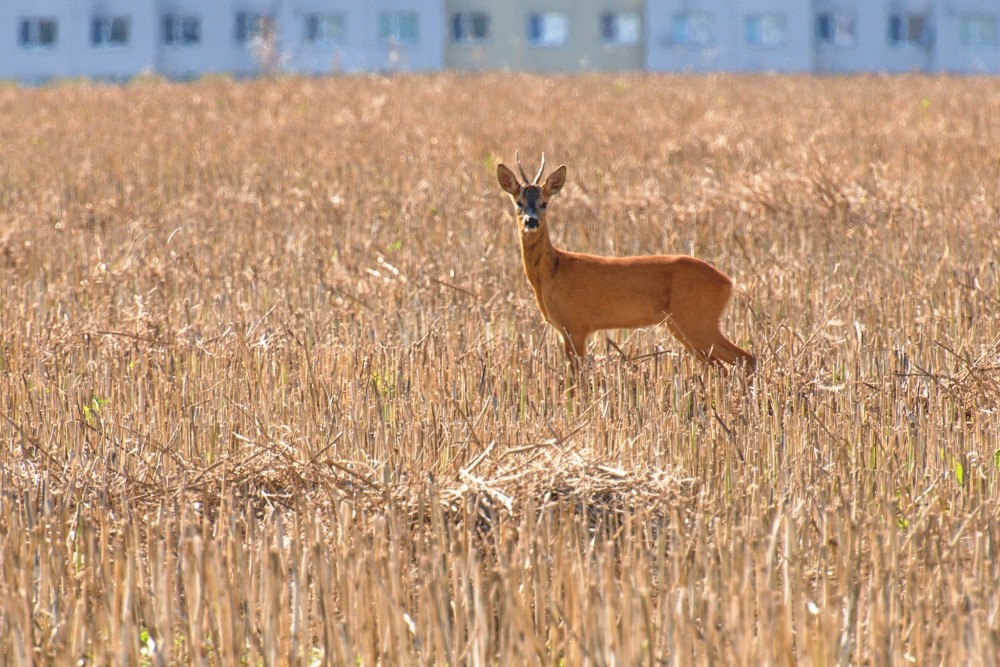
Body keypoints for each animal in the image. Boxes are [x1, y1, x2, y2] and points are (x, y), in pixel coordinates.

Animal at [496, 154, 752, 374]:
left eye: (544, 203)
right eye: (518, 202)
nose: (531, 221)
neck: (553, 271)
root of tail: (728, 283)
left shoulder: (576, 325)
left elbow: (577, 378)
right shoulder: (567, 329)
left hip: (697, 320)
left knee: (743, 359)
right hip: (685, 326)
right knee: (726, 365)